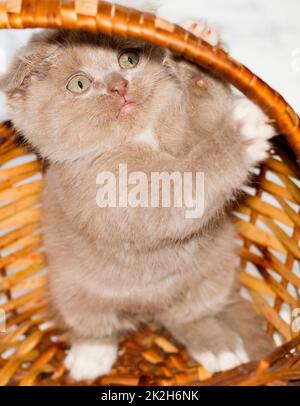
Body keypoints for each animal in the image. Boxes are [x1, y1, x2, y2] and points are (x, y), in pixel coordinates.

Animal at [0, 23, 274, 380]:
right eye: (79, 84)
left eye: (129, 59)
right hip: (71, 291)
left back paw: (220, 349)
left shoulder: (183, 132)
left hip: (215, 269)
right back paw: (90, 358)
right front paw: (240, 137)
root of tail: (148, 310)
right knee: (96, 328)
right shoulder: (119, 195)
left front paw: (197, 52)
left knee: (188, 318)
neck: (137, 137)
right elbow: (192, 179)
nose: (119, 86)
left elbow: (206, 118)